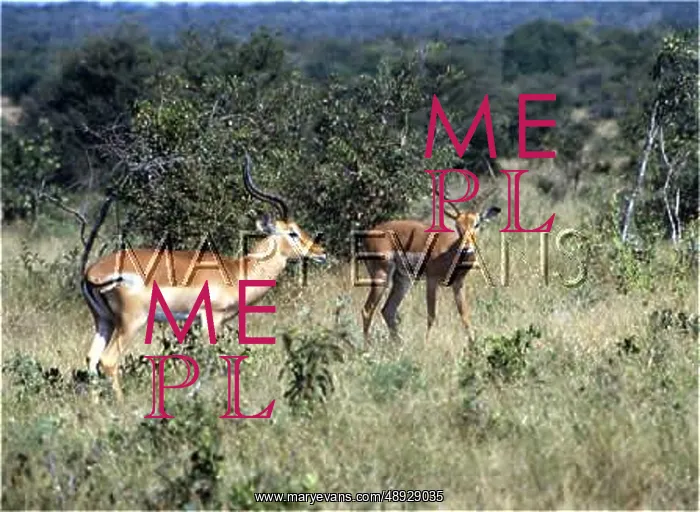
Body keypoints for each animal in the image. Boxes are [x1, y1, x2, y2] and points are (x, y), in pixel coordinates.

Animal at [80, 154, 327, 400]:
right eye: (292, 232)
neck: (237, 271)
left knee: (91, 359)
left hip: (104, 320)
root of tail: (92, 272)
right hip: (131, 322)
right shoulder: (212, 320)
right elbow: (209, 358)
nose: (321, 251)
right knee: (108, 360)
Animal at [359, 185, 501, 345]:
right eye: (457, 226)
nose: (467, 247)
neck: (449, 250)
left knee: (388, 310)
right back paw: (368, 347)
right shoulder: (431, 281)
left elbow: (464, 314)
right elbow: (431, 315)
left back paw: (400, 345)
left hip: (402, 280)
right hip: (381, 275)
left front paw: (473, 344)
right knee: (367, 310)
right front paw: (427, 344)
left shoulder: (458, 284)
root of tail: (368, 236)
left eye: (477, 224)